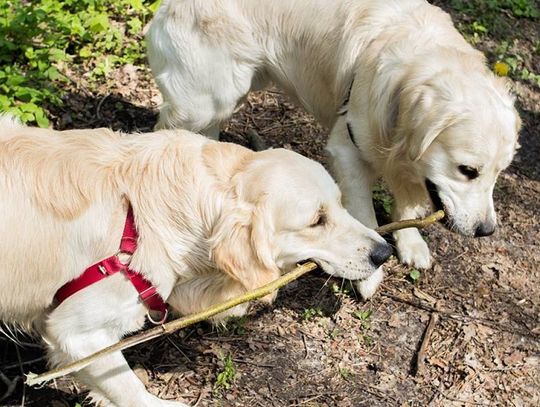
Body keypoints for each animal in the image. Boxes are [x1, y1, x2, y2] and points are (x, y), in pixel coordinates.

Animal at [146, 0, 520, 300]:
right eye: (467, 171)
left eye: (499, 173)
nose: (486, 231)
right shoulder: (348, 147)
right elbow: (365, 215)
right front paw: (372, 273)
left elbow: (409, 205)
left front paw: (410, 242)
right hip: (204, 102)